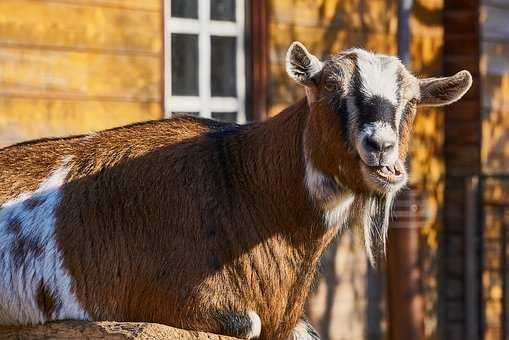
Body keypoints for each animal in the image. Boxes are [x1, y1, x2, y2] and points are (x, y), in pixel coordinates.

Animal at [0, 43, 472, 340]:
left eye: (411, 102)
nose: (381, 147)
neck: (243, 184)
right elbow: (249, 324)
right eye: (330, 91)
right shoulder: (159, 300)